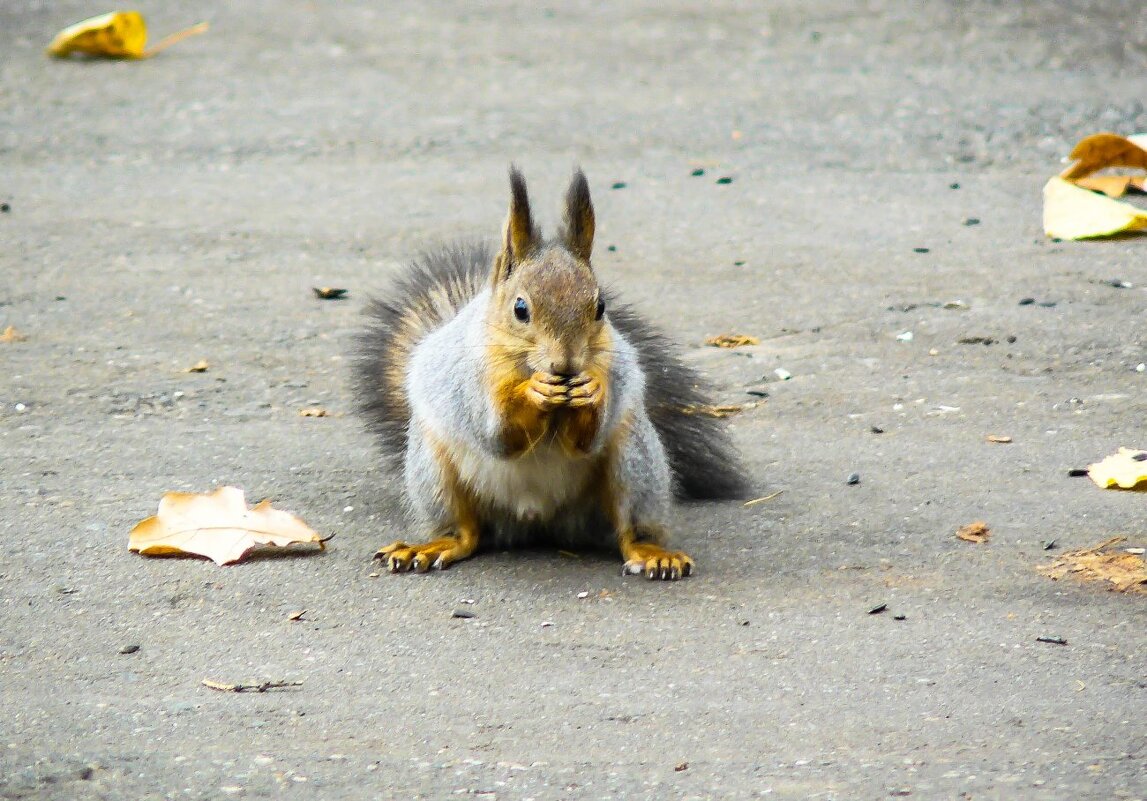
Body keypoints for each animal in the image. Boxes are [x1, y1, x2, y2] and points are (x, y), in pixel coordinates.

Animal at [357, 165, 752, 576]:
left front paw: (590, 393)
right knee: (465, 532)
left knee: (628, 530)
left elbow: (586, 438)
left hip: (636, 464)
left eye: (600, 307)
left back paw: (652, 552)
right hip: (433, 472)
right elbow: (497, 435)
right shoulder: (470, 383)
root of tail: (535, 520)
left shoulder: (612, 370)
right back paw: (433, 545)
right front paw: (534, 393)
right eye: (520, 309)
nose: (566, 364)